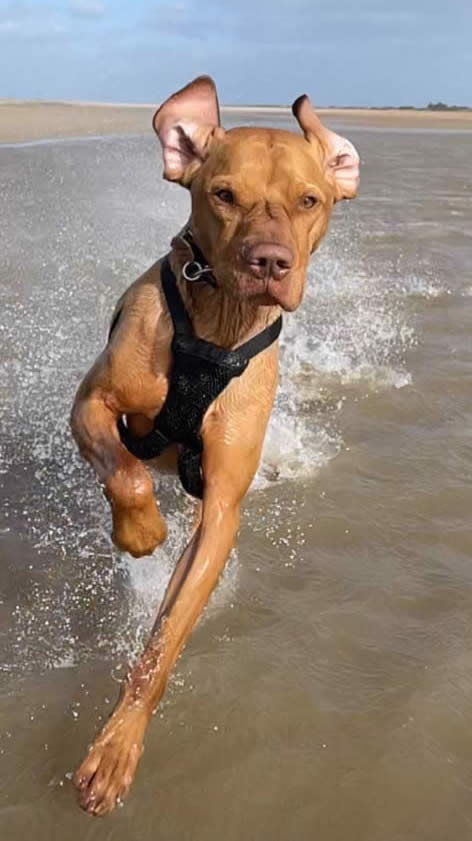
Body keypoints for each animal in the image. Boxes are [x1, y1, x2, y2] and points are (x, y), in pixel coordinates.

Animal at [69, 74, 358, 812]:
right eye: (223, 194)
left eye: (309, 200)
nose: (270, 261)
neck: (219, 326)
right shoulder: (91, 403)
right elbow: (126, 472)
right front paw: (141, 530)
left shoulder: (221, 509)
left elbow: (163, 643)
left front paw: (118, 745)